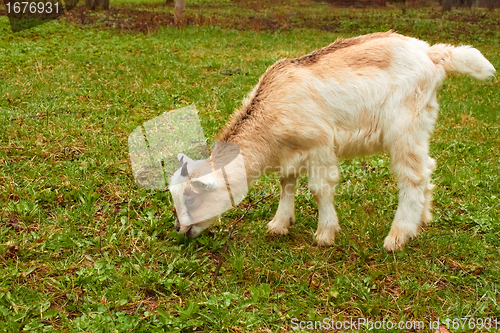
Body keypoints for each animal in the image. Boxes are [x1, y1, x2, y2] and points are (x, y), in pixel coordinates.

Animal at [169, 31, 496, 252]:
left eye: (191, 198)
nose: (182, 230)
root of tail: (432, 55)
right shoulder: (289, 153)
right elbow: (287, 185)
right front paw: (279, 225)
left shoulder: (320, 144)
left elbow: (320, 188)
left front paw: (325, 234)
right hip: (421, 124)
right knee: (427, 167)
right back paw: (422, 220)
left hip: (404, 126)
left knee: (411, 177)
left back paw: (397, 237)